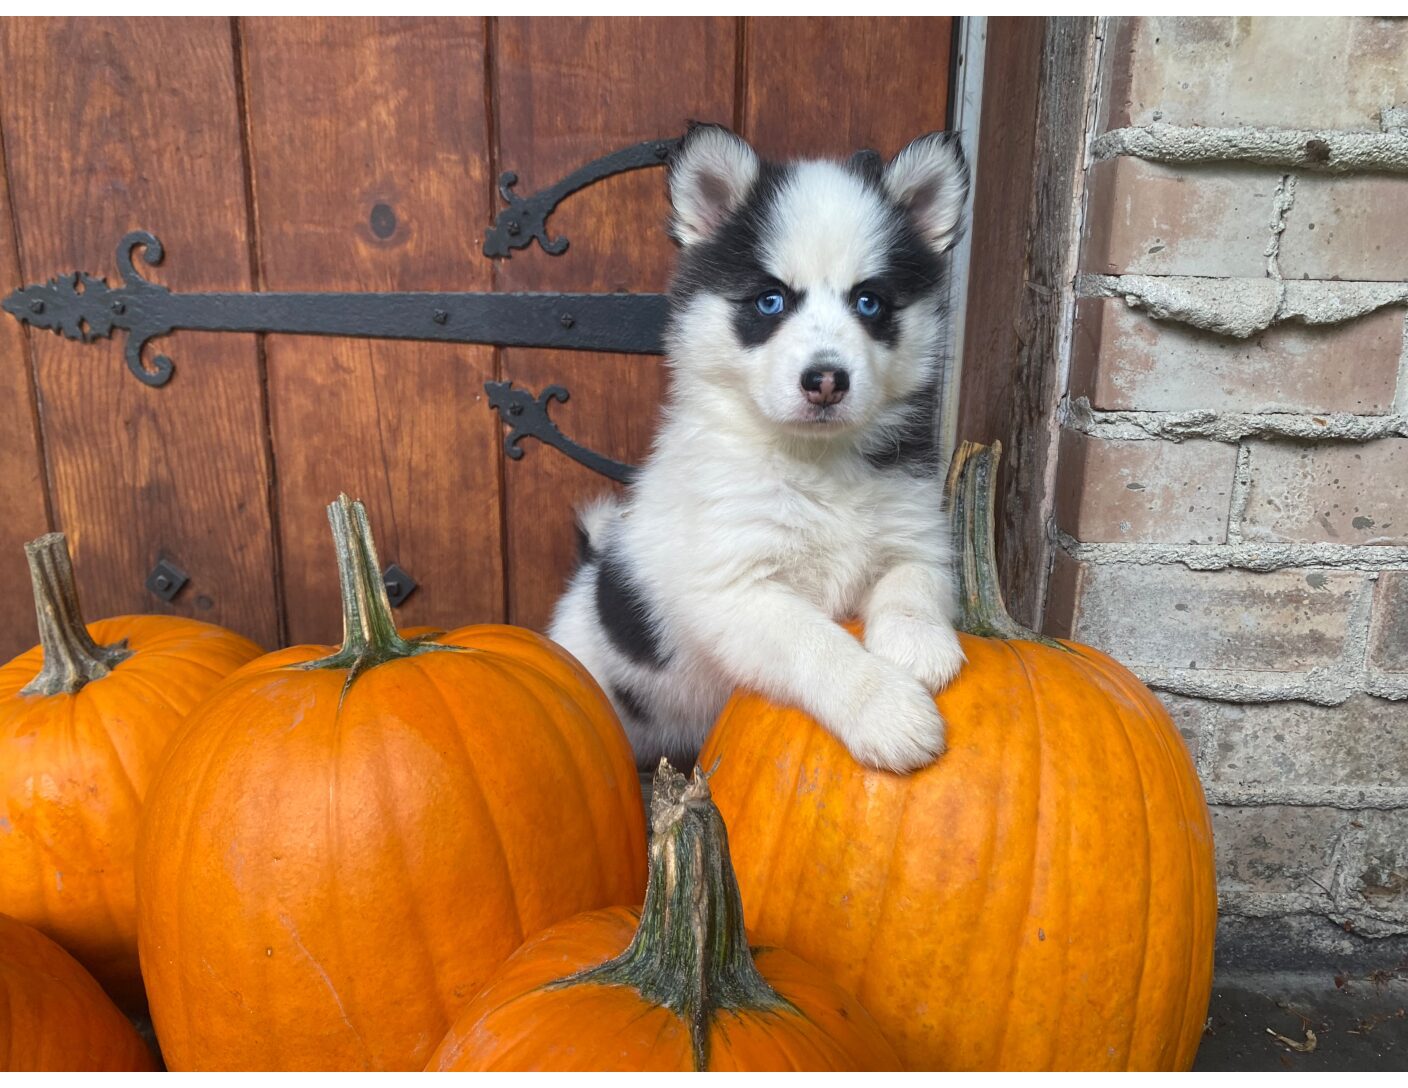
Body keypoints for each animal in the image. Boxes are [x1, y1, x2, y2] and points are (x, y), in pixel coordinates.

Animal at [546, 125, 968, 771]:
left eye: (869, 302)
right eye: (771, 301)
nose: (826, 380)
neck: (816, 460)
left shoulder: (917, 528)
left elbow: (914, 579)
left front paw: (917, 642)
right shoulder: (737, 588)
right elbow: (815, 642)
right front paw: (887, 709)